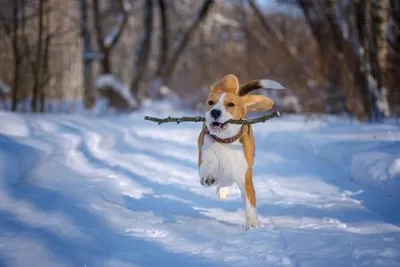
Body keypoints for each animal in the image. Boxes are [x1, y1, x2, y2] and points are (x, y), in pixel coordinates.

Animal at [198, 74, 284, 231]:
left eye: (231, 104)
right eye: (210, 102)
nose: (215, 112)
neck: (225, 141)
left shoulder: (245, 178)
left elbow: (250, 202)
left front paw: (252, 223)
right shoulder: (205, 156)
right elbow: (207, 166)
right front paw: (208, 178)